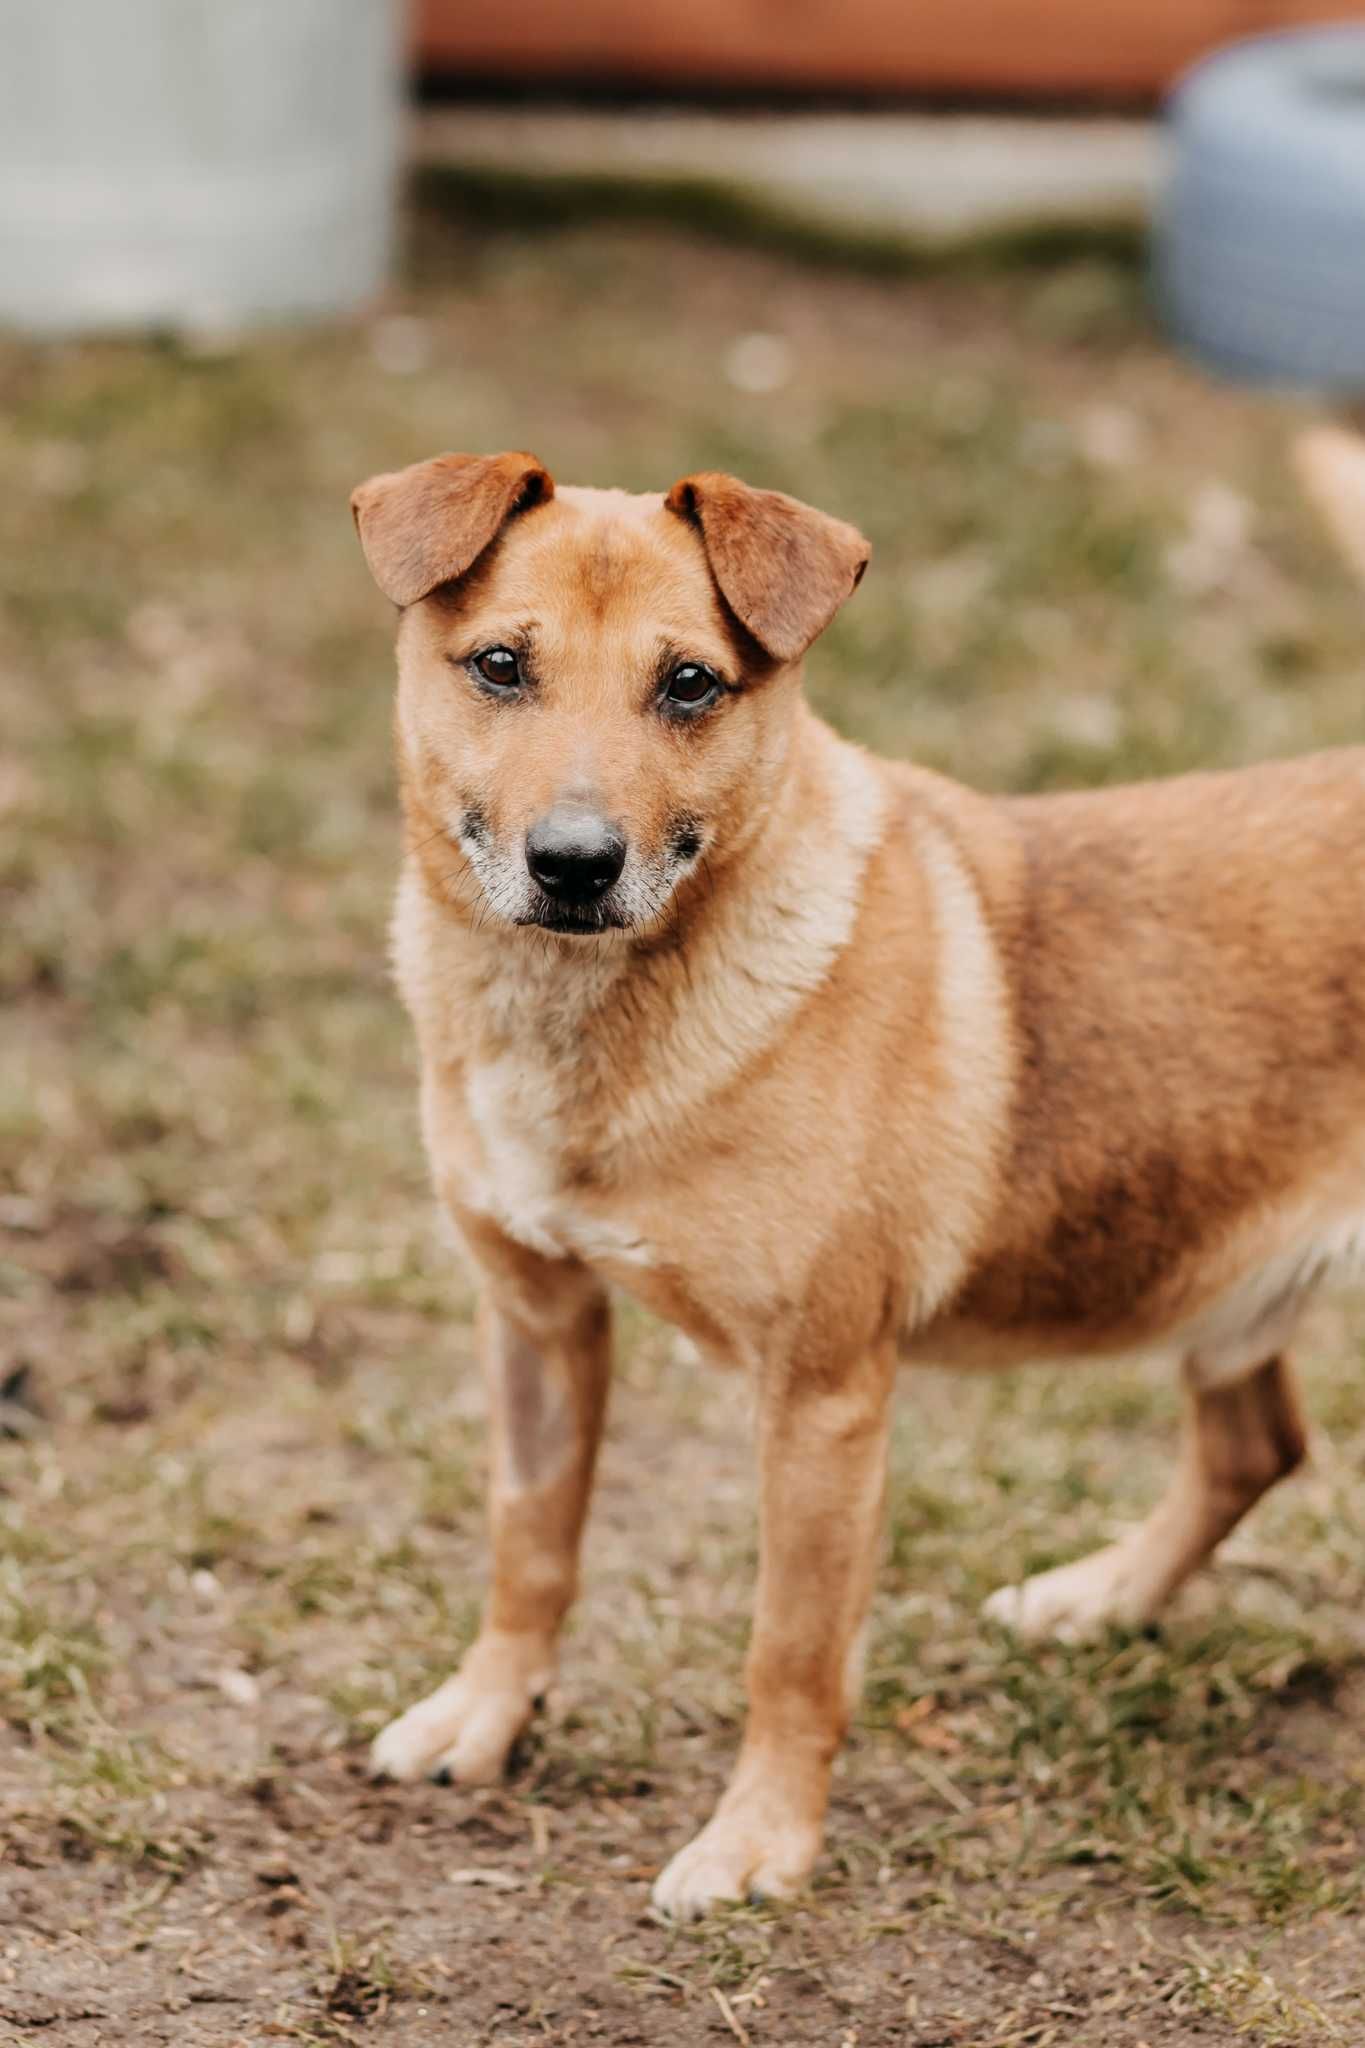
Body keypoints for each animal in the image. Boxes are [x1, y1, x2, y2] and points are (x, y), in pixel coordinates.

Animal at [349, 448, 1358, 1916]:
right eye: (497, 665)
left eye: (690, 683)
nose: (575, 863)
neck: (587, 1024)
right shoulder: (536, 1320)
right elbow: (528, 1544)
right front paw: (489, 1711)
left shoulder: (822, 1400)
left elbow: (790, 1648)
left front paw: (761, 1841)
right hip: (1216, 1285)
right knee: (1254, 1444)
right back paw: (1100, 1598)